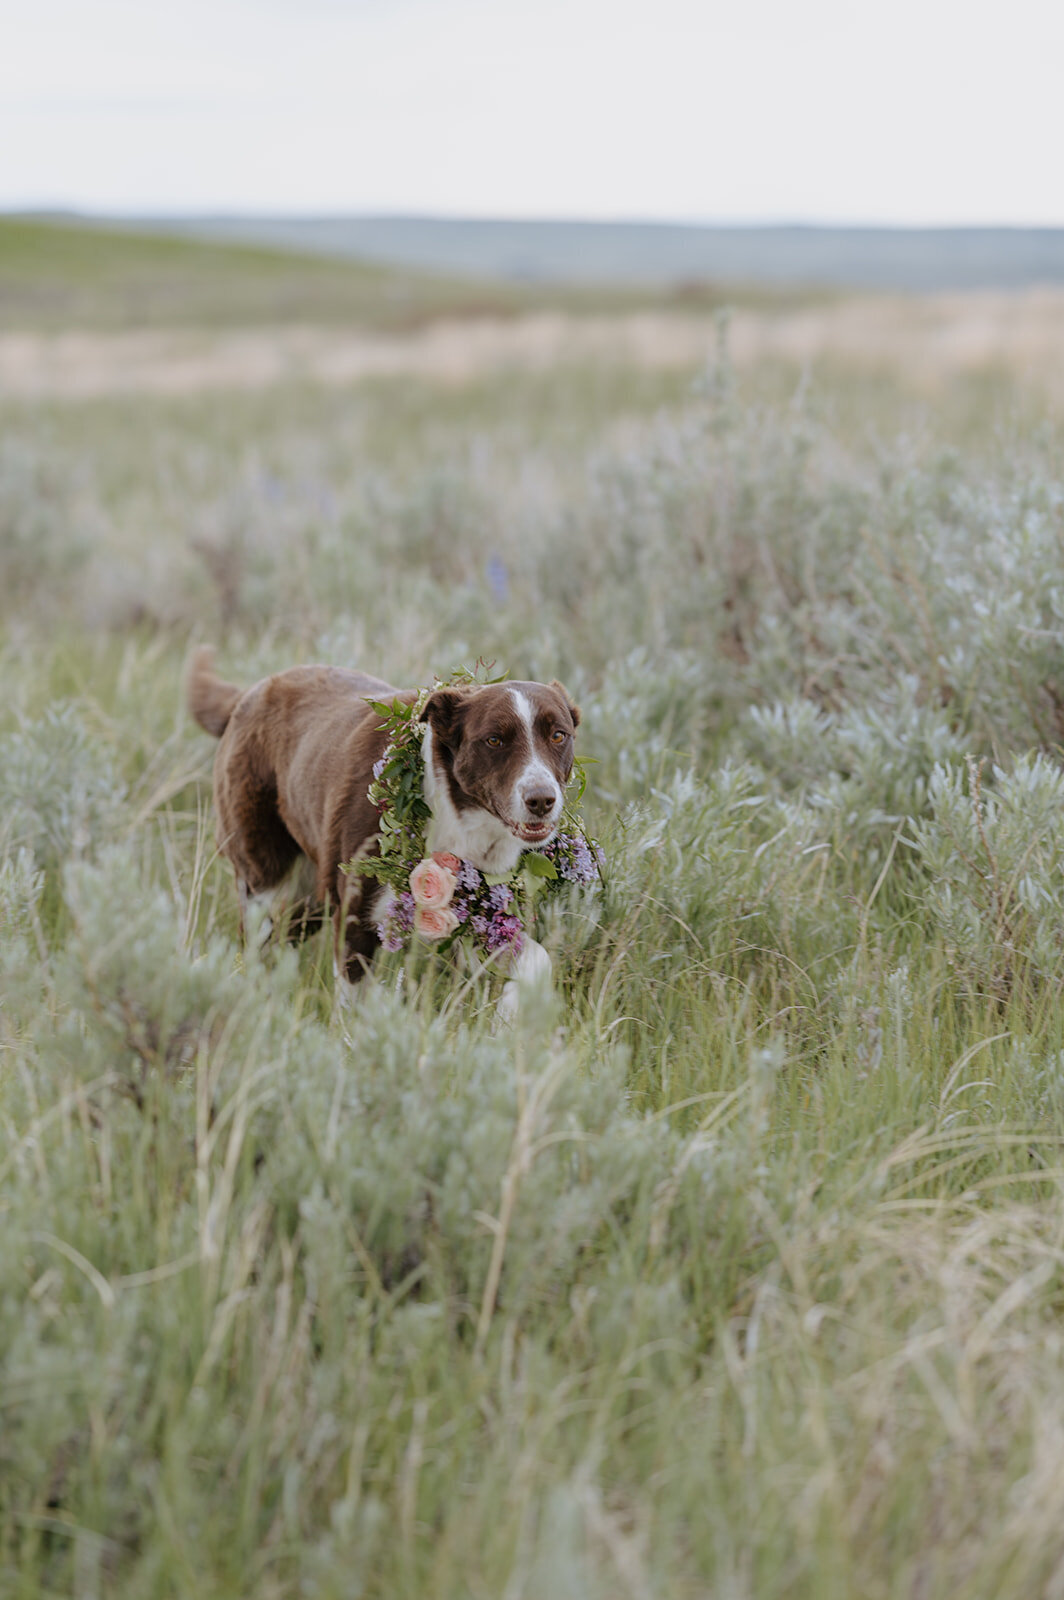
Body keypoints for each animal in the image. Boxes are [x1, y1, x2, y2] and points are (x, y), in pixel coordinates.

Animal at [184, 649, 582, 1011]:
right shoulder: (356, 919)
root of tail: (249, 693)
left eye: (558, 736)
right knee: (256, 938)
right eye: (495, 740)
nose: (542, 799)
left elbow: (535, 959)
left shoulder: (480, 910)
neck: (448, 812)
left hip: (313, 893)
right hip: (263, 873)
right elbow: (355, 1004)